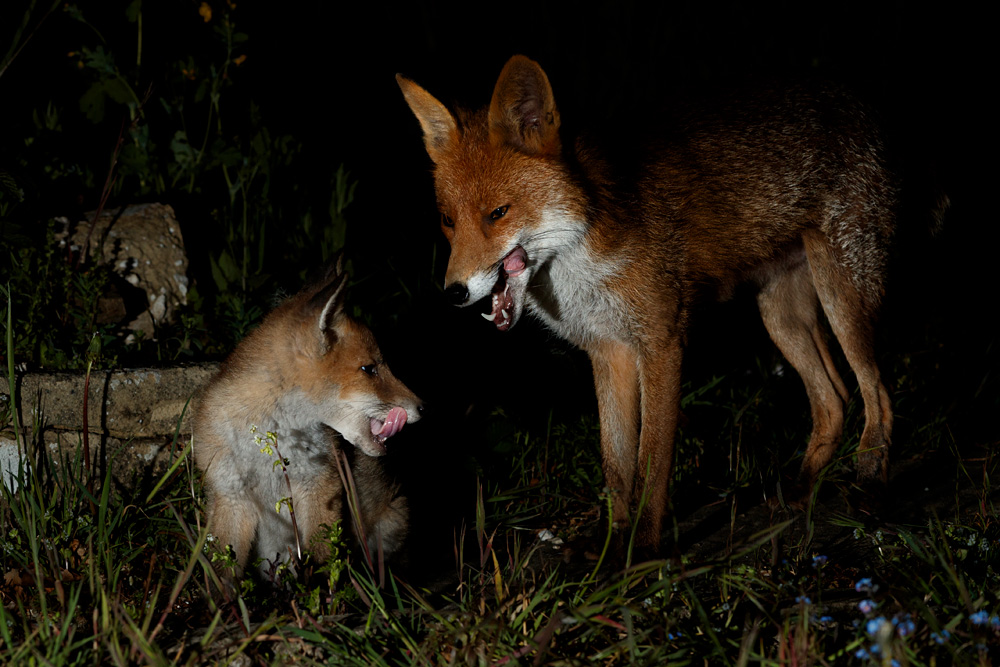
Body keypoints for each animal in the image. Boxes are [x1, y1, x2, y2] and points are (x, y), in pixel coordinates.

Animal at [193, 258, 422, 591]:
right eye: (370, 369)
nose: (422, 407)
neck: (267, 442)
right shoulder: (229, 496)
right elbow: (223, 572)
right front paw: (221, 605)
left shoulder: (321, 486)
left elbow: (324, 563)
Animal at [397, 55, 896, 552]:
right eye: (448, 220)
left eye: (498, 213)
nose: (454, 292)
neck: (582, 261)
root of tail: (848, 92)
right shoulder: (608, 351)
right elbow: (617, 466)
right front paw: (613, 547)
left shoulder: (661, 343)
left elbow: (652, 462)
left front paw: (646, 550)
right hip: (781, 317)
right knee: (834, 400)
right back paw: (803, 487)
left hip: (842, 294)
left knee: (875, 390)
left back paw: (870, 479)